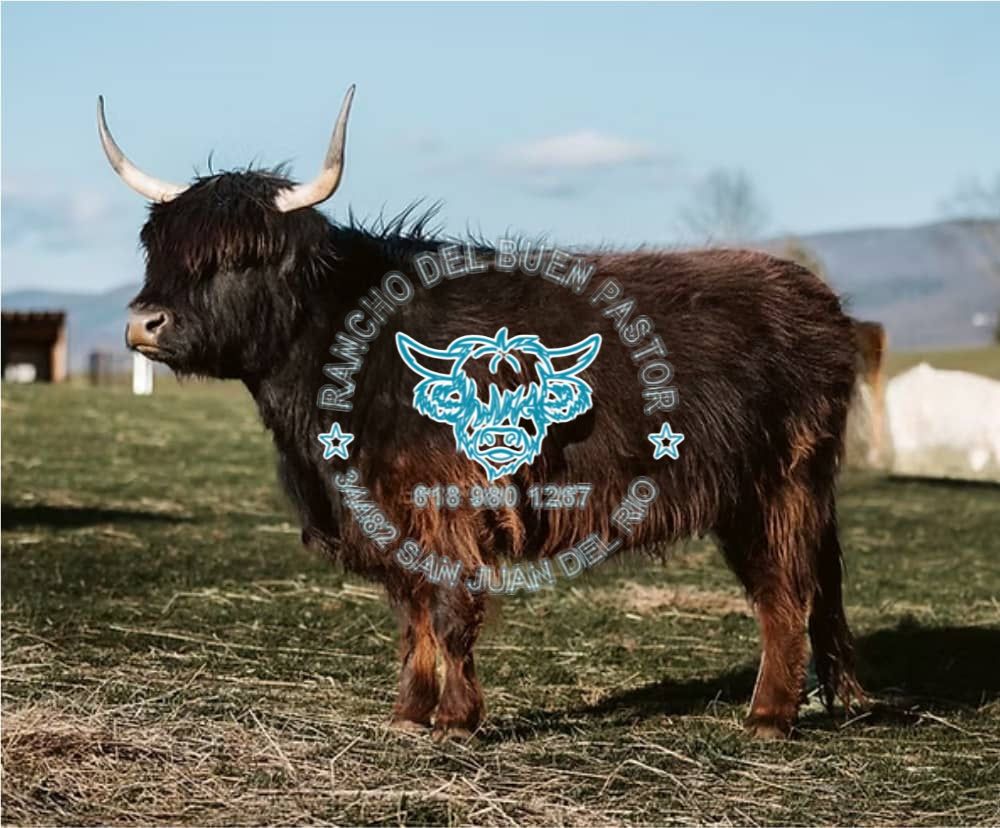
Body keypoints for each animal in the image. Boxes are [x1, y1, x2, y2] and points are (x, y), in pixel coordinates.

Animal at [99, 86, 864, 740]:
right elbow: (412, 614)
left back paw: (767, 716)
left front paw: (454, 720)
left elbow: (448, 610)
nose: (143, 323)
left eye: (239, 257)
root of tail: (814, 295)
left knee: (785, 591)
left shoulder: (447, 503)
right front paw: (409, 713)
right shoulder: (385, 515)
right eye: (159, 247)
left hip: (779, 483)